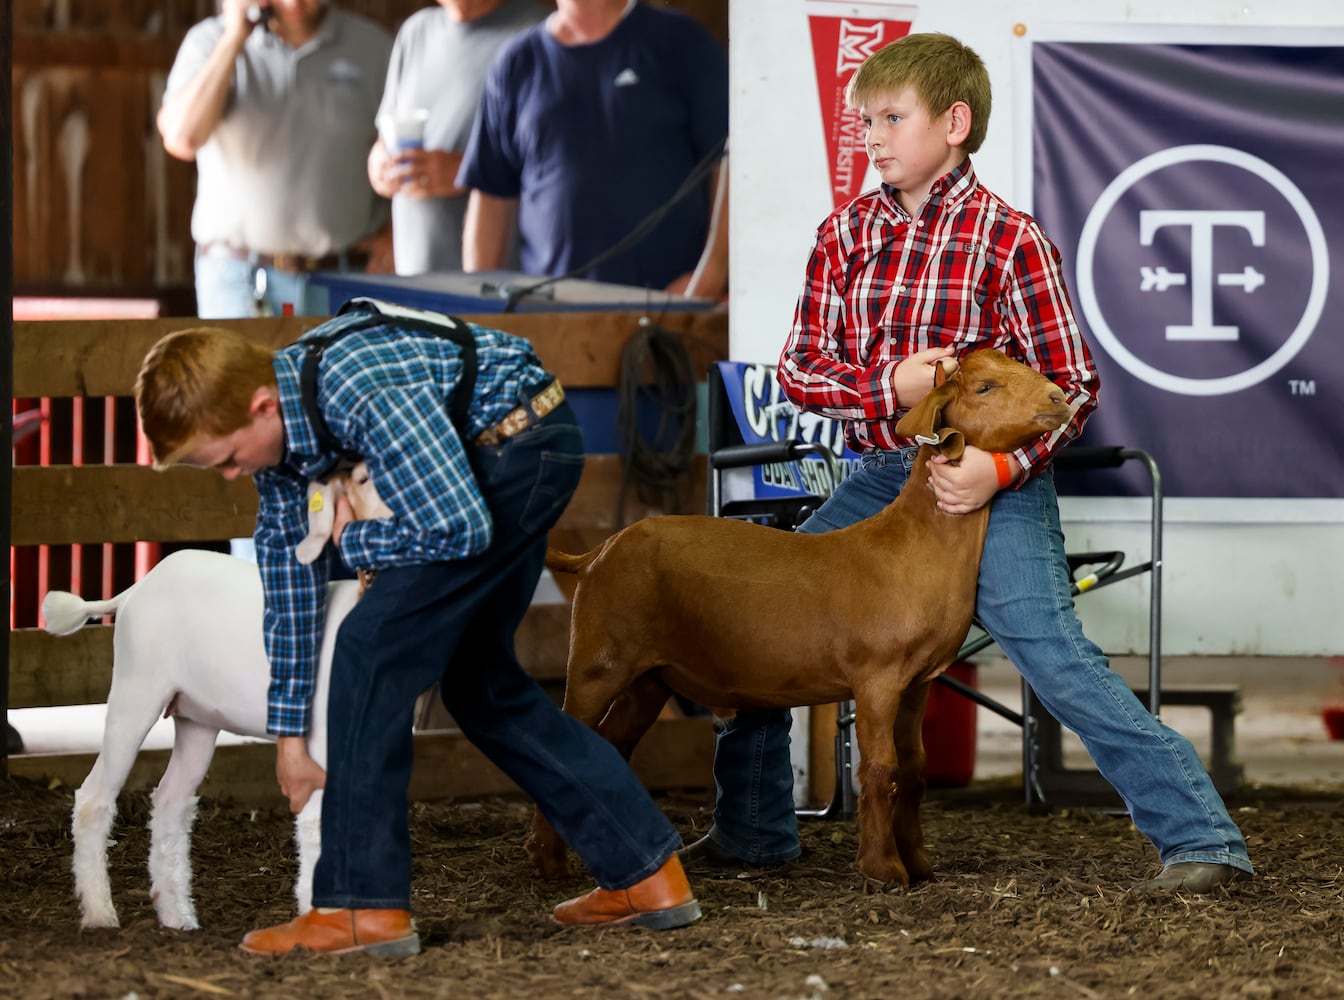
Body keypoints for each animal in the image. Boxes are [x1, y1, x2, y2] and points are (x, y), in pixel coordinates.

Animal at [524, 349, 1069, 881]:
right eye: (984, 387)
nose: (1060, 397)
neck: (912, 544)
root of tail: (595, 554)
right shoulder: (877, 677)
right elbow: (881, 770)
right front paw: (883, 870)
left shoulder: (919, 680)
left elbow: (915, 769)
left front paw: (919, 865)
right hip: (598, 660)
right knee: (568, 741)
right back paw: (550, 863)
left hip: (649, 679)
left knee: (609, 747)